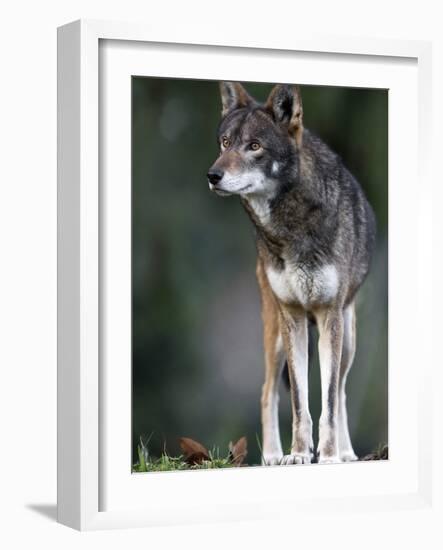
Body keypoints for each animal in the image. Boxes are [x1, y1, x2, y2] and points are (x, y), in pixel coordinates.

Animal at [207, 83, 374, 466]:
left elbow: (328, 399)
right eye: (225, 142)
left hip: (347, 336)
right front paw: (298, 454)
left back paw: (346, 453)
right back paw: (272, 455)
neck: (290, 227)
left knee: (341, 390)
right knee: (267, 391)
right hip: (276, 334)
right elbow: (299, 400)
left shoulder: (328, 316)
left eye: (254, 146)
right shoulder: (293, 316)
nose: (213, 175)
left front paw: (328, 456)